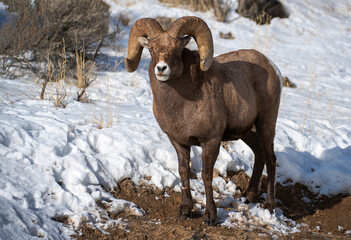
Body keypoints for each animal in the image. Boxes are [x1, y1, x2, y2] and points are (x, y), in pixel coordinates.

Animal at [126, 15, 284, 224]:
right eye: (151, 49)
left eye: (178, 49)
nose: (161, 68)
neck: (183, 104)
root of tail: (272, 67)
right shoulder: (178, 142)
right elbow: (183, 171)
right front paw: (185, 209)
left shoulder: (210, 141)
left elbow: (206, 175)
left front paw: (210, 215)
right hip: (246, 132)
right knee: (259, 154)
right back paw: (248, 196)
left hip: (266, 124)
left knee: (271, 159)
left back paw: (269, 206)